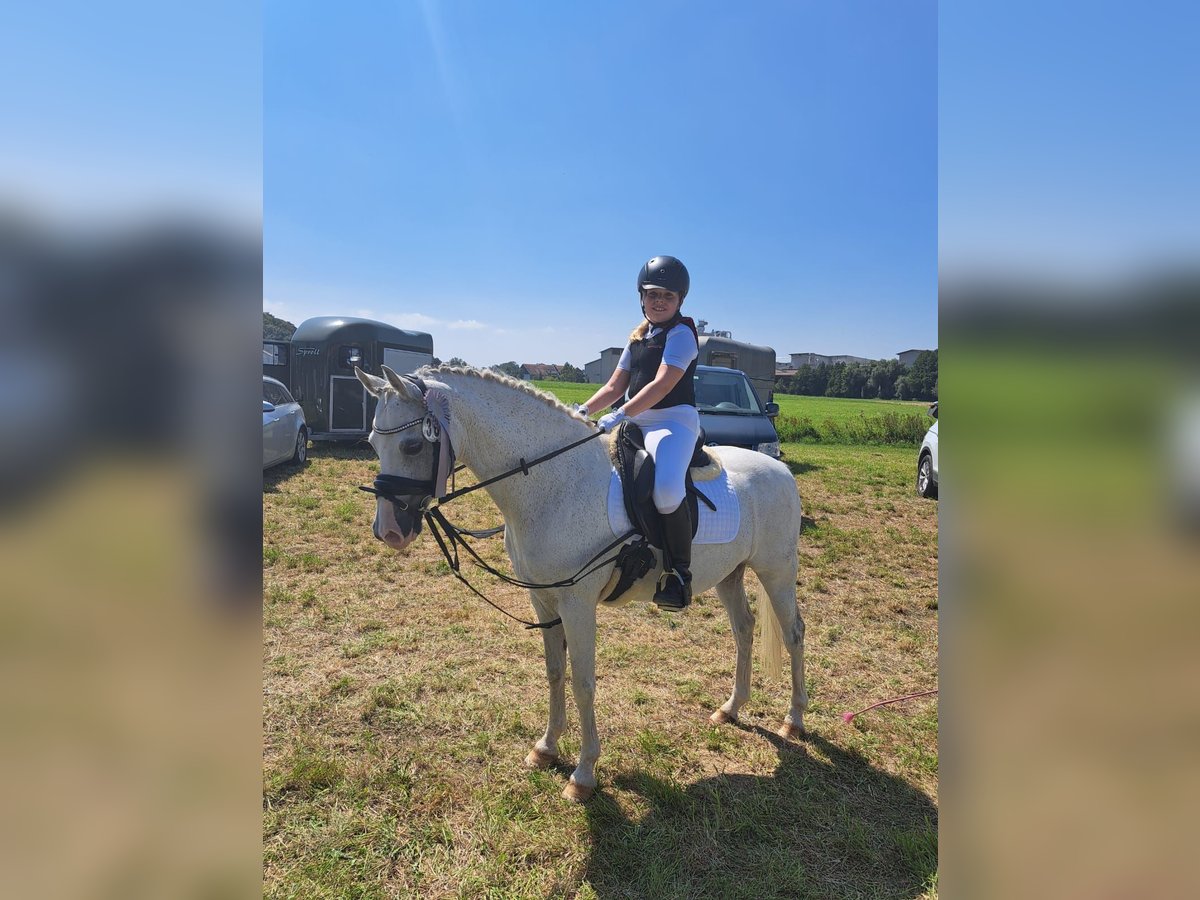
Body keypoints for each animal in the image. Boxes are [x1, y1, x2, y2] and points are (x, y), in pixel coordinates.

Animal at [356, 364, 808, 802]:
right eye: (373, 444)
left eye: (413, 446)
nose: (389, 532)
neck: (553, 483)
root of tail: (781, 469)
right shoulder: (543, 601)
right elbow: (555, 672)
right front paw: (545, 748)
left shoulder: (577, 605)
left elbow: (583, 683)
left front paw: (584, 774)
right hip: (730, 574)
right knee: (744, 629)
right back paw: (731, 708)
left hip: (776, 571)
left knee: (793, 633)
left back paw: (794, 720)